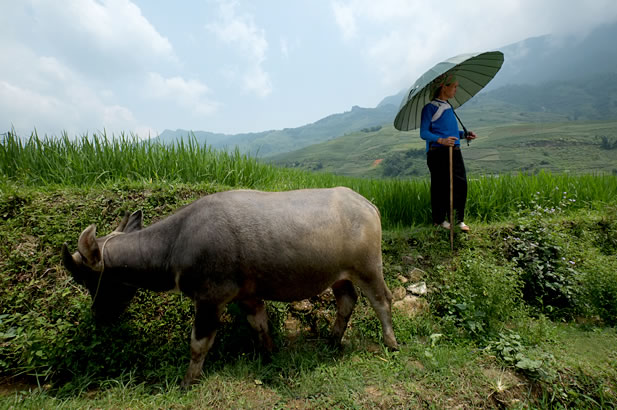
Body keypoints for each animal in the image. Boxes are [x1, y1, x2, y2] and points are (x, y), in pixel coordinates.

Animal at [62, 187, 398, 386]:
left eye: (88, 279)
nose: (99, 315)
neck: (177, 243)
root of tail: (368, 204)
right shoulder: (247, 296)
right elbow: (259, 325)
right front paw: (268, 353)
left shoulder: (209, 299)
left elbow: (199, 344)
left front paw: (188, 380)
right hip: (339, 275)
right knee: (347, 300)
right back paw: (332, 339)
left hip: (368, 268)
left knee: (382, 300)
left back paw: (391, 342)